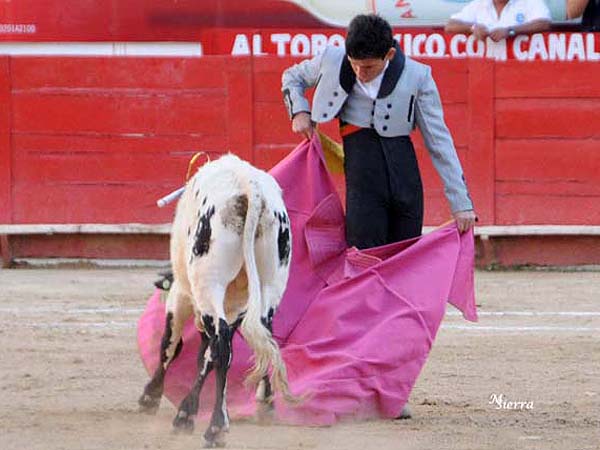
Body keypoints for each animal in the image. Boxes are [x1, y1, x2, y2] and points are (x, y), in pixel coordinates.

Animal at [137, 154, 296, 446]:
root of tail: (250, 187)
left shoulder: (181, 296)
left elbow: (172, 344)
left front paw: (153, 397)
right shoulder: (237, 309)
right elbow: (207, 356)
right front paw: (187, 411)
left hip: (209, 283)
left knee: (220, 346)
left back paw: (216, 428)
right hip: (270, 285)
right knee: (263, 338)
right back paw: (264, 403)